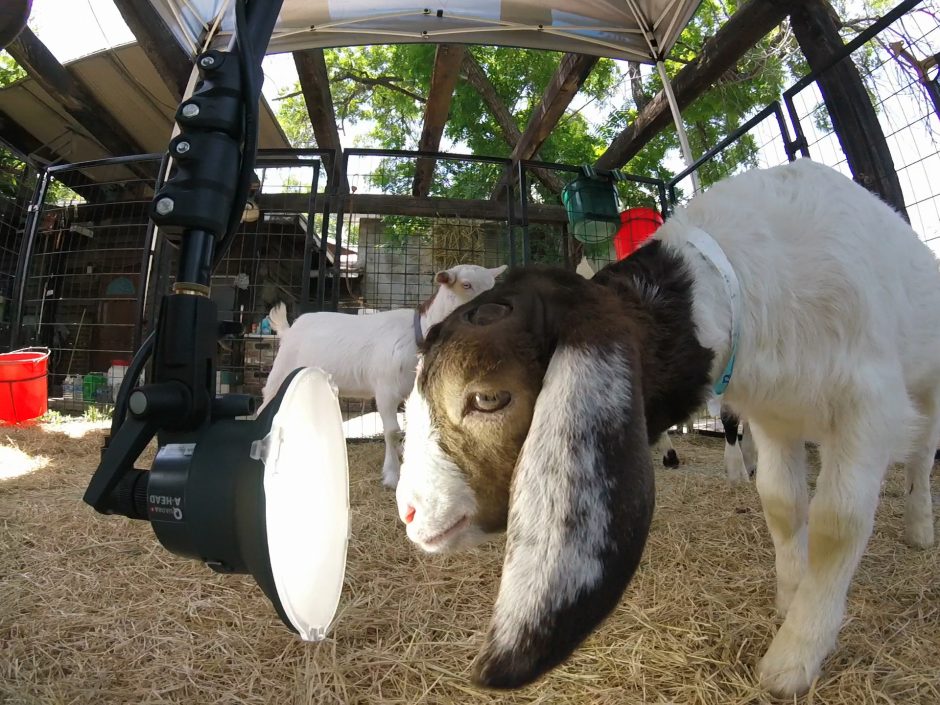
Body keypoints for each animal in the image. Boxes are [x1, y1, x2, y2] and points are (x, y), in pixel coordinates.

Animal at [262, 263, 506, 488]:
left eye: (493, 284)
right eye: (466, 285)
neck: (417, 335)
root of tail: (289, 328)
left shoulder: (410, 391)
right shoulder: (386, 390)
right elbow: (391, 431)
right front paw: (391, 474)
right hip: (282, 370)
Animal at [395, 159, 940, 696]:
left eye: (488, 397)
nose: (409, 512)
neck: (732, 283)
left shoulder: (868, 406)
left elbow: (839, 522)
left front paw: (794, 658)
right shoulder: (775, 418)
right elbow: (782, 504)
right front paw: (791, 599)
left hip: (925, 384)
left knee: (922, 452)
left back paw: (919, 527)